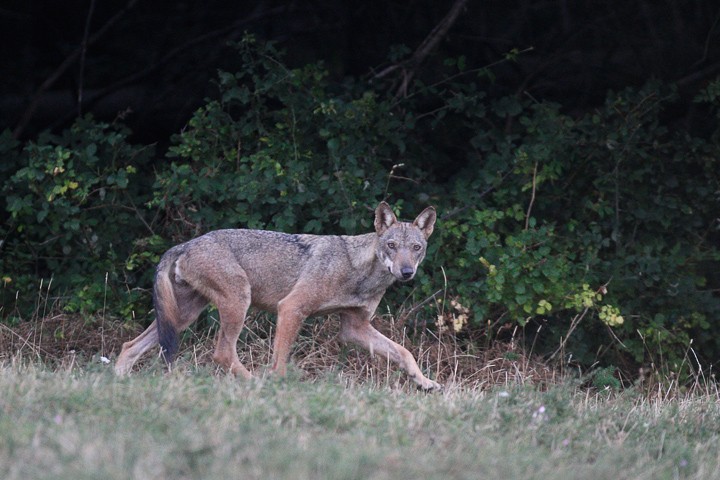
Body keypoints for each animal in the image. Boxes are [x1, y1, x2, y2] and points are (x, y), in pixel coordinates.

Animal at [114, 202, 438, 390]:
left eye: (416, 248)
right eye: (392, 245)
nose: (406, 272)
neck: (359, 272)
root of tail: (184, 244)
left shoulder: (354, 328)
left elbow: (404, 352)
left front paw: (424, 382)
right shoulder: (291, 308)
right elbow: (280, 361)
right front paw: (277, 390)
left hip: (181, 319)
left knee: (129, 345)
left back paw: (118, 383)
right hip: (236, 304)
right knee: (222, 353)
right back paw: (253, 383)